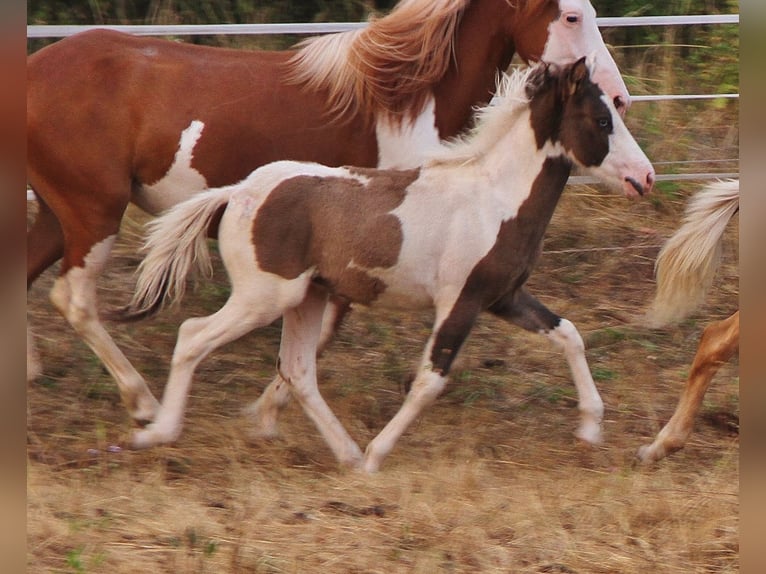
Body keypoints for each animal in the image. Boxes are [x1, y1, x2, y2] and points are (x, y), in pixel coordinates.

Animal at [26, 0, 631, 425]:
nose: (619, 95)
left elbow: (318, 333)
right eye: (571, 15)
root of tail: (33, 69)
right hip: (92, 212)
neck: (400, 102)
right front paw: (267, 408)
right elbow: (324, 330)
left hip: (59, 214)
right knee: (73, 300)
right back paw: (143, 402)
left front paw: (270, 406)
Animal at [115, 57, 654, 473]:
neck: (494, 198)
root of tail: (238, 192)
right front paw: (379, 454)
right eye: (602, 120)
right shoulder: (460, 301)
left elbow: (569, 334)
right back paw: (156, 431)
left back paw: (346, 454)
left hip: (306, 298)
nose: (645, 177)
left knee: (298, 370)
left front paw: (590, 427)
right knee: (193, 336)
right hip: (264, 297)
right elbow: (430, 380)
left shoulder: (503, 297)